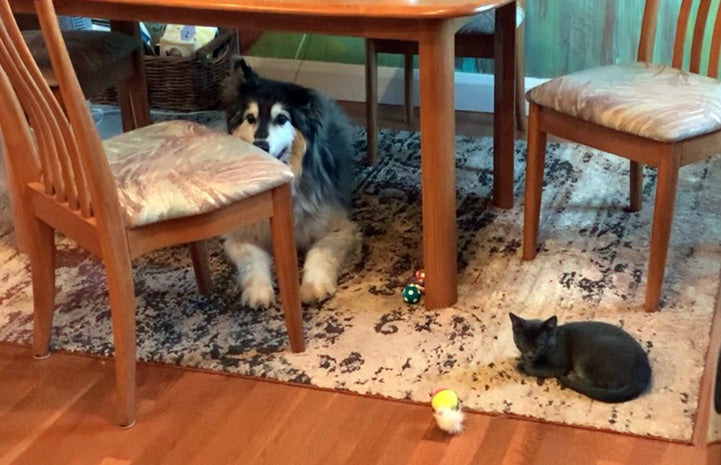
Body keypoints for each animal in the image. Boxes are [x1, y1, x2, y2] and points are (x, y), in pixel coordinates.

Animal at [219, 57, 360, 308]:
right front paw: (259, 292)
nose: (261, 145)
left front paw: (313, 287)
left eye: (282, 119)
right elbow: (252, 259)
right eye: (250, 118)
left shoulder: (338, 227)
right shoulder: (240, 235)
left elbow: (319, 253)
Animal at [506, 312, 652, 402]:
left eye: (539, 345)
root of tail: (643, 372)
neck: (554, 341)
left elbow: (539, 369)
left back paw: (571, 377)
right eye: (523, 343)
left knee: (604, 383)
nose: (530, 355)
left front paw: (522, 366)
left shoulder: (559, 365)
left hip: (592, 358)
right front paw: (522, 359)